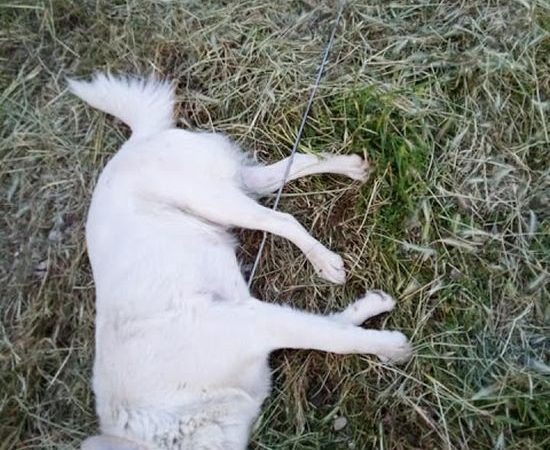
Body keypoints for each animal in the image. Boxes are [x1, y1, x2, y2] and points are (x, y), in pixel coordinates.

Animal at [68, 73, 412, 450]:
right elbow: (332, 325)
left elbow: (335, 339)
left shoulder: (248, 323)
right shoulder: (258, 320)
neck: (172, 416)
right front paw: (373, 310)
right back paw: (350, 167)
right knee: (286, 168)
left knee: (282, 220)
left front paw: (391, 347)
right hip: (233, 188)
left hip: (213, 200)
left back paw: (324, 260)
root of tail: (137, 140)